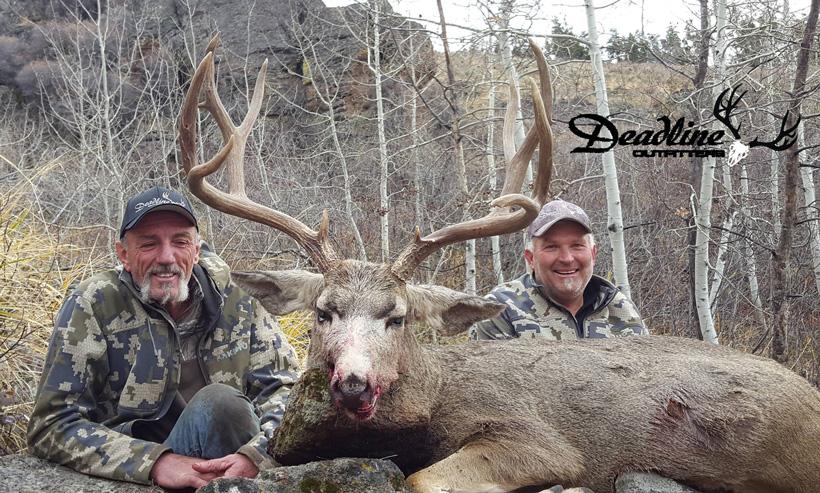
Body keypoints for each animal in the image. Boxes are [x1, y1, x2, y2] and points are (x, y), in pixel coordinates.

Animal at [178, 36, 820, 493]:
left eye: (397, 317)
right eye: (322, 313)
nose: (354, 382)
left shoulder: (544, 441)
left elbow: (423, 479)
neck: (439, 396)